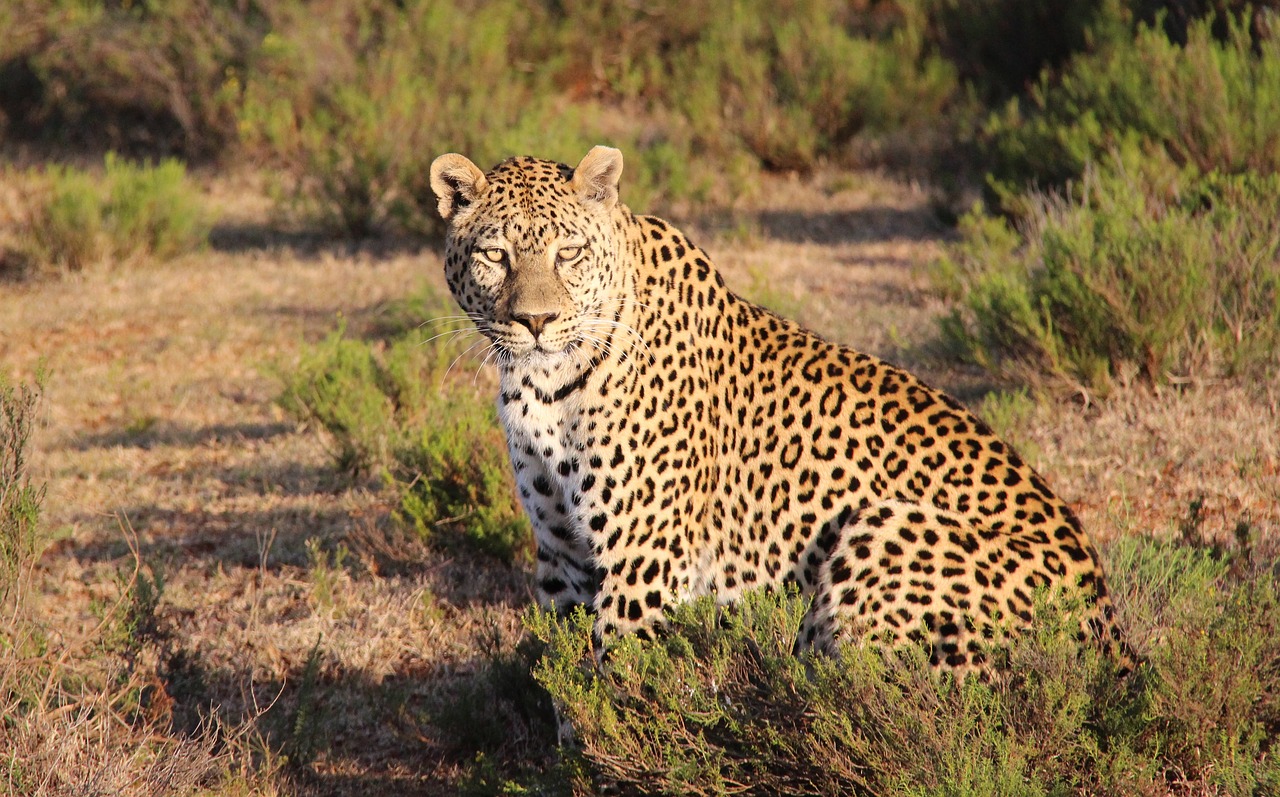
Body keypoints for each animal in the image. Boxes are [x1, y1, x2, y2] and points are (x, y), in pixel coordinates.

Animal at [427, 146, 1131, 675]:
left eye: (568, 253)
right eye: (495, 255)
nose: (535, 321)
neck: (544, 387)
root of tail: (1116, 642)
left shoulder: (642, 565)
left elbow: (615, 688)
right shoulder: (563, 560)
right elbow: (563, 689)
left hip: (884, 532)